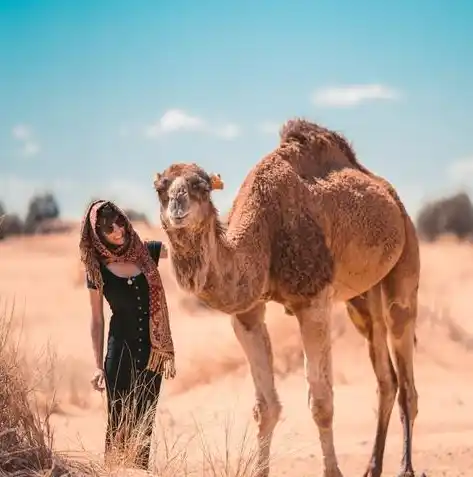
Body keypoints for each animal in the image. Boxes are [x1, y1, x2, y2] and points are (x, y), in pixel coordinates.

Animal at [153, 118, 422, 476]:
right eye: (161, 188)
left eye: (202, 186)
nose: (177, 207)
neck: (264, 232)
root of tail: (392, 198)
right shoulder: (247, 313)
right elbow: (265, 406)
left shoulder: (313, 302)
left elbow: (321, 403)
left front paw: (332, 471)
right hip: (363, 299)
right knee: (386, 377)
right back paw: (372, 467)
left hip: (405, 264)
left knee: (405, 372)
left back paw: (405, 468)